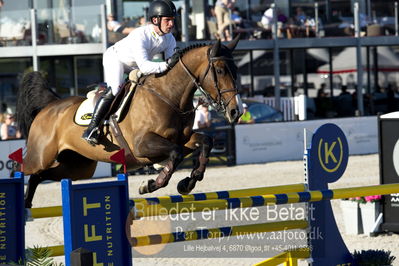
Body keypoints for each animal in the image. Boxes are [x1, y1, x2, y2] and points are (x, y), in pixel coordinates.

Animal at [15, 36, 244, 209]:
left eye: (236, 69)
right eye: (220, 70)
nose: (236, 111)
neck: (168, 96)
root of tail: (50, 106)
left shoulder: (183, 138)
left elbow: (205, 142)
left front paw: (188, 182)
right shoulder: (142, 145)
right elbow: (176, 153)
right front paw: (150, 184)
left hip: (77, 167)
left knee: (38, 176)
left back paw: (26, 205)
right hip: (41, 156)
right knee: (24, 170)